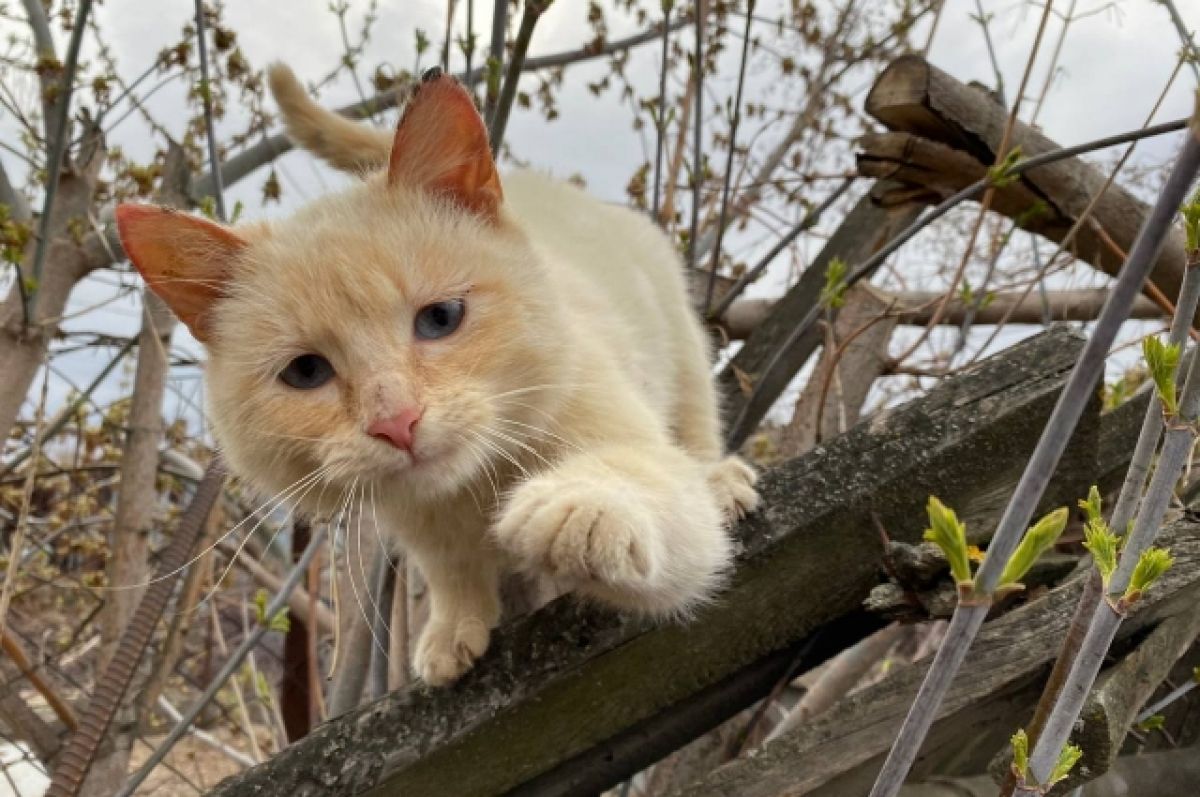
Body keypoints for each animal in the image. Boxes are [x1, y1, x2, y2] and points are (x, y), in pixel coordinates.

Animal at [119, 65, 758, 686]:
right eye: (306, 371)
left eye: (441, 319)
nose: (396, 421)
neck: (475, 488)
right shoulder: (422, 526)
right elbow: (452, 568)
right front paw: (454, 627)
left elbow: (643, 479)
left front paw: (585, 507)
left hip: (683, 346)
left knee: (697, 428)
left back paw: (720, 480)